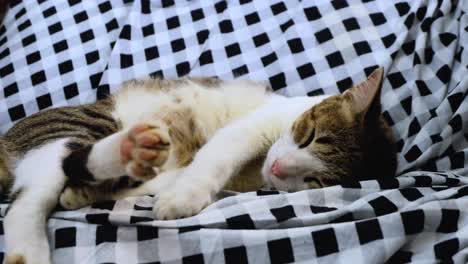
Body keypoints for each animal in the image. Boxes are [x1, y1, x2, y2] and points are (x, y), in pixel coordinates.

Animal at [0, 67, 394, 262]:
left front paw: (85, 194)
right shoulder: (252, 127)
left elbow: (167, 177)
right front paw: (184, 197)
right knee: (25, 203)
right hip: (73, 131)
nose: (279, 169)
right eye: (309, 135)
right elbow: (216, 156)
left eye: (314, 181)